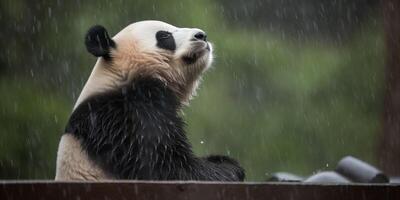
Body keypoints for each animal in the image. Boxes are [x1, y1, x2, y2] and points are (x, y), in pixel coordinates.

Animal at [55, 20, 244, 181]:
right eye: (164, 36)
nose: (201, 35)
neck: (121, 77)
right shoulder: (124, 118)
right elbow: (165, 166)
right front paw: (230, 168)